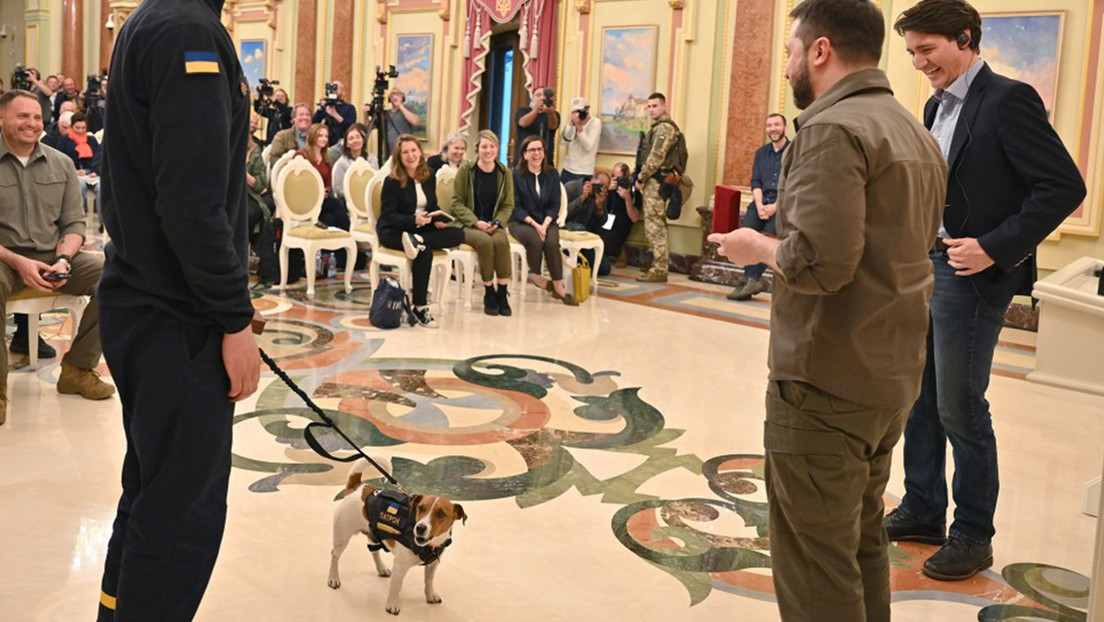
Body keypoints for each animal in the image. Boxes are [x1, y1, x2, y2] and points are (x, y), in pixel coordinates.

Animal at [326, 459, 465, 614]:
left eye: (441, 514)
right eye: (421, 508)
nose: (420, 528)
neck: (429, 545)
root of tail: (358, 488)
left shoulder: (432, 565)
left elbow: (428, 582)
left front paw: (430, 595)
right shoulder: (400, 566)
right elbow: (396, 587)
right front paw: (392, 604)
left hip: (373, 535)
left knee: (374, 552)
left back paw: (381, 568)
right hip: (342, 536)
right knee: (334, 555)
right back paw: (333, 578)